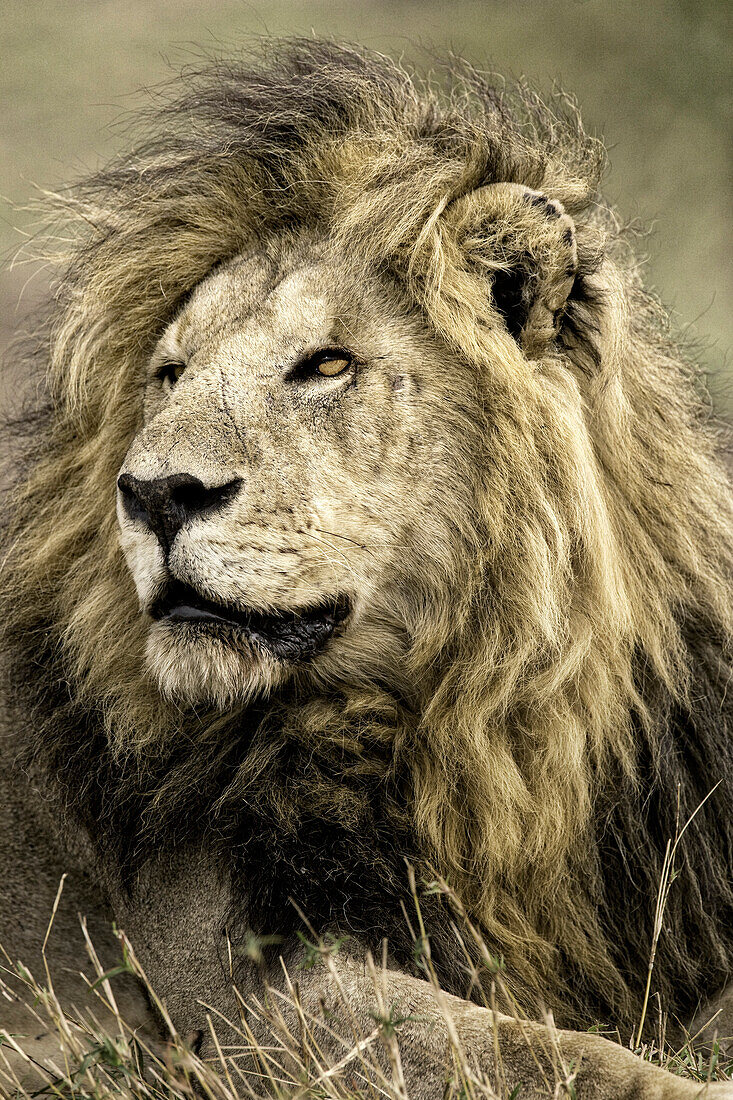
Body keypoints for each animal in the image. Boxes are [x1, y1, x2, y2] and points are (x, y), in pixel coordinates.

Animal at [1, 36, 730, 1100]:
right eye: (168, 375)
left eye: (328, 365)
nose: (153, 492)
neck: (475, 722)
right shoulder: (225, 992)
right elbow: (524, 1049)